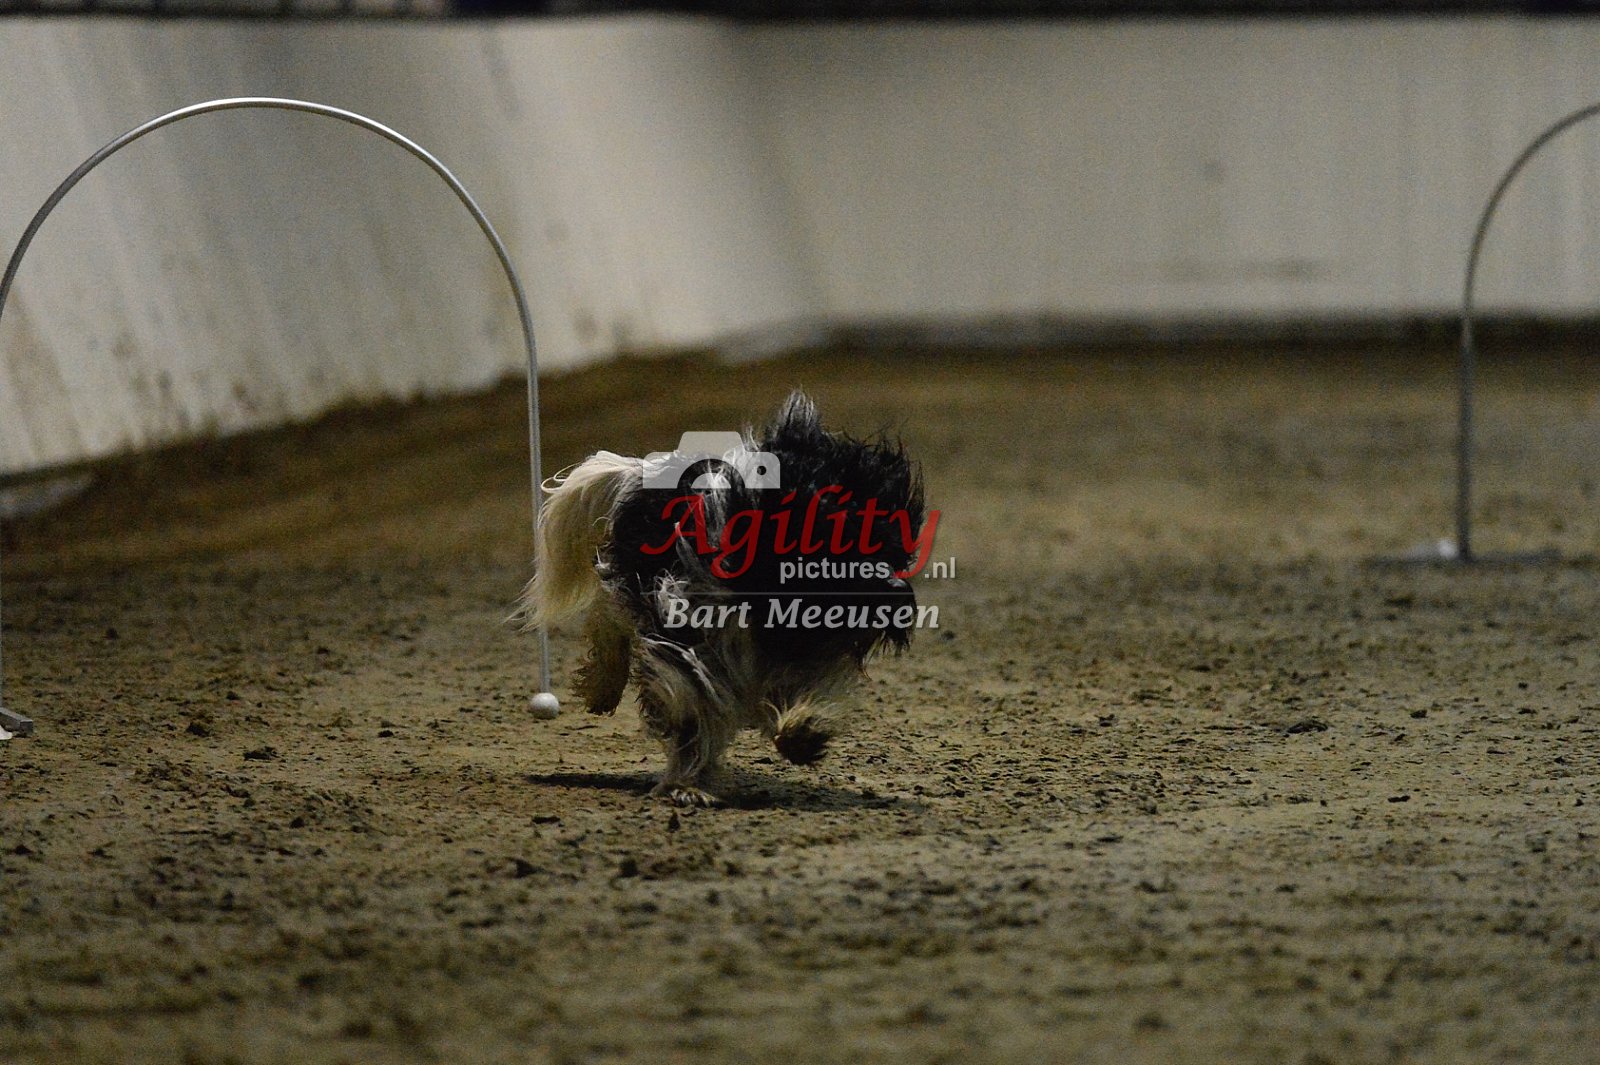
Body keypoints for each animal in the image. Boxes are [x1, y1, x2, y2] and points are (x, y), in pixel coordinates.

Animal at [519, 391, 933, 806]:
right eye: (841, 540)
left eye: (895, 547)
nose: (897, 596)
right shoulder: (688, 627)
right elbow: (695, 705)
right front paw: (687, 784)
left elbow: (808, 684)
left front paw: (803, 733)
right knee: (609, 618)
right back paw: (603, 687)